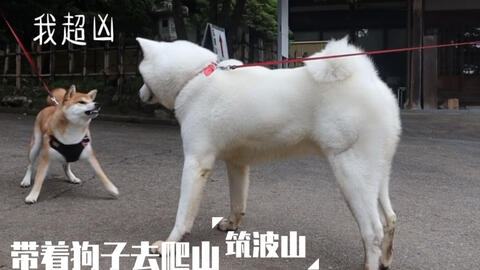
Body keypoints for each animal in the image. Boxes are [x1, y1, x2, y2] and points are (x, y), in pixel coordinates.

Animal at [136, 36, 402, 270]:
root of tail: (369, 80)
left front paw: (169, 244)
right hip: (377, 175)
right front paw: (232, 224)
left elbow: (183, 214)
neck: (195, 78)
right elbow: (237, 202)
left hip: (351, 175)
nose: (138, 93)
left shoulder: (195, 163)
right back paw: (386, 259)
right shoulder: (237, 164)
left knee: (373, 230)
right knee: (390, 218)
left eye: (140, 75)